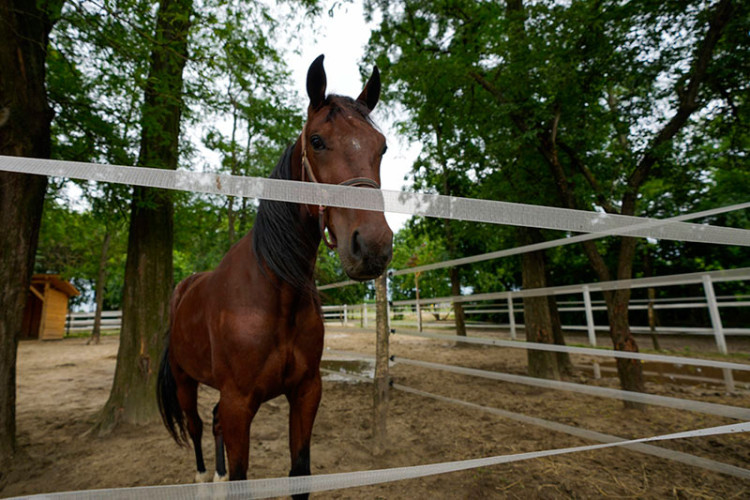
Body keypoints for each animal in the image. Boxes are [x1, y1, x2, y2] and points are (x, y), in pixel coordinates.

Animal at [158, 55, 394, 496]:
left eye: (382, 147)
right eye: (317, 141)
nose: (372, 247)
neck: (276, 293)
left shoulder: (305, 393)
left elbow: (299, 474)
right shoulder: (239, 403)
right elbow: (241, 476)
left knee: (212, 424)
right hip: (184, 380)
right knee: (196, 426)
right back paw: (203, 478)